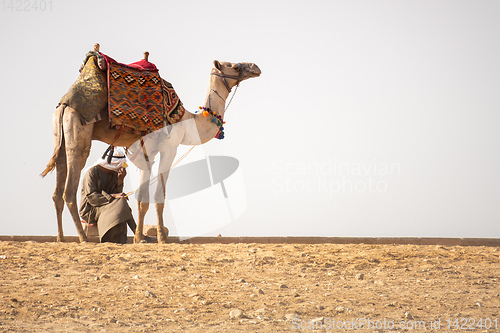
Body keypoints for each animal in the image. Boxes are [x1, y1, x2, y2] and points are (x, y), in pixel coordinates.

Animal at [42, 48, 262, 243]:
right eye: (234, 66)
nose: (255, 67)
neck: (187, 120)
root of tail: (65, 103)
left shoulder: (147, 154)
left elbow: (142, 199)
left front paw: (140, 237)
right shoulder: (169, 148)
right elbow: (158, 195)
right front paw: (161, 238)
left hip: (60, 137)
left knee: (57, 190)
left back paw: (61, 238)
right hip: (79, 135)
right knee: (69, 190)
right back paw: (82, 238)